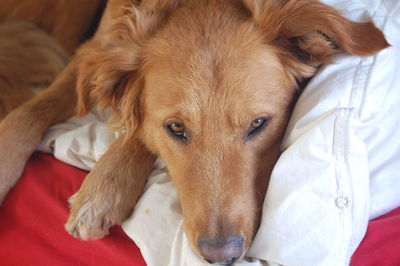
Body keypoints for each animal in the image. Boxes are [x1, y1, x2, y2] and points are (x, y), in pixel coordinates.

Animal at [0, 1, 388, 264]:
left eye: (258, 124)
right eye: (176, 128)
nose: (221, 255)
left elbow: (135, 125)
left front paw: (106, 185)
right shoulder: (95, 45)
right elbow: (33, 110)